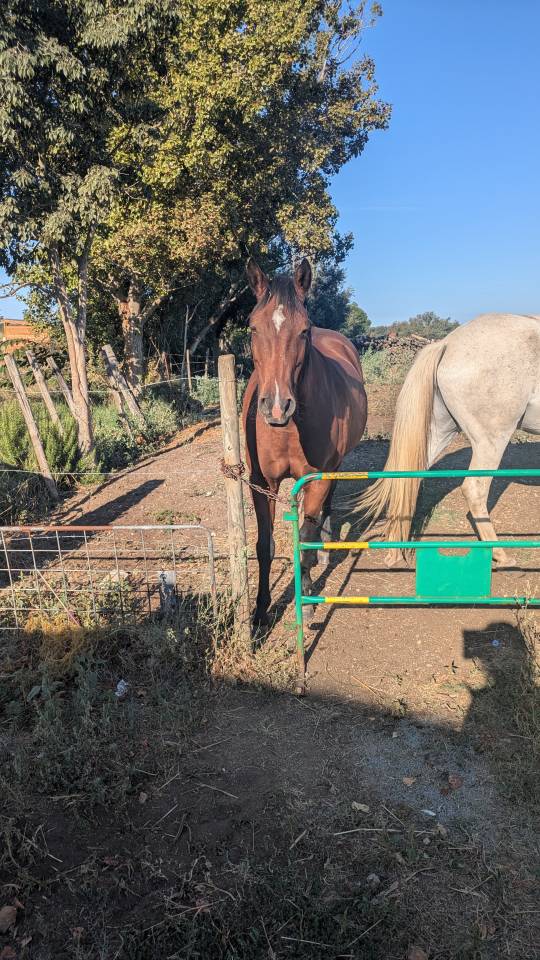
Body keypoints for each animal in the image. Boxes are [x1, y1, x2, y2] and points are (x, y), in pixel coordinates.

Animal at [242, 257, 367, 627]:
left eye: (303, 330)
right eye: (253, 328)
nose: (277, 406)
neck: (288, 429)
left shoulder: (316, 479)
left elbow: (306, 540)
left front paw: (309, 601)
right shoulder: (262, 484)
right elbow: (264, 546)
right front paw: (260, 614)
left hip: (333, 468)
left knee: (327, 505)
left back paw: (326, 548)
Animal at [356, 313, 540, 563]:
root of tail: (447, 344)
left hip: (441, 431)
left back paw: (395, 550)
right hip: (491, 441)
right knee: (474, 490)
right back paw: (500, 554)